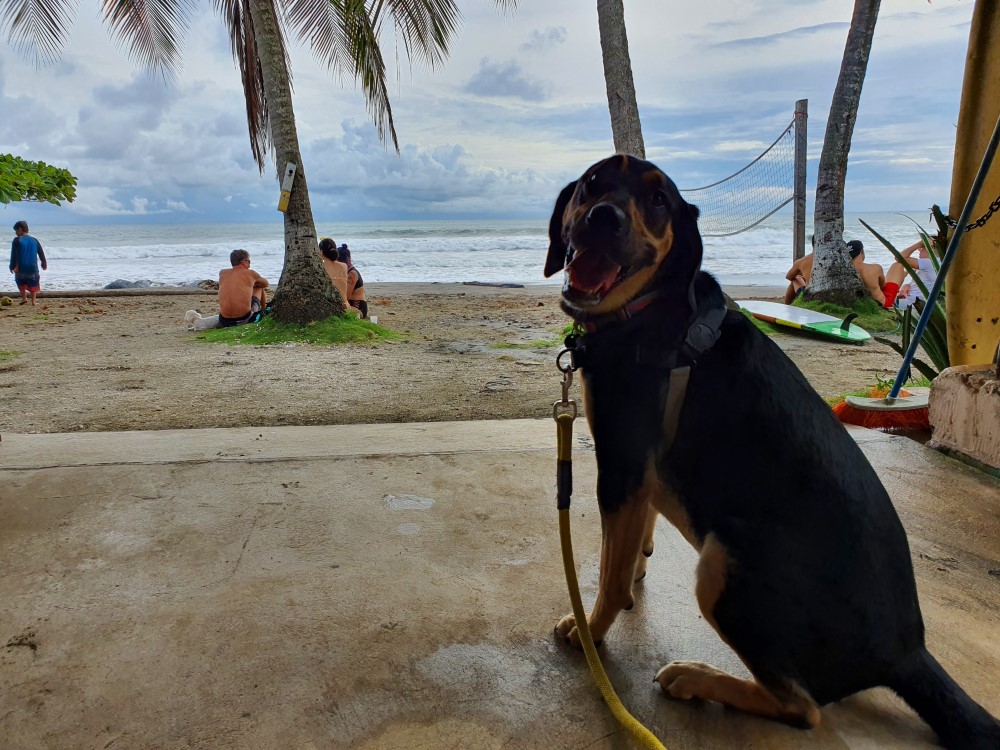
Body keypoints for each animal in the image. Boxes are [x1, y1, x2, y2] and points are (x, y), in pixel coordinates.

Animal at [548, 156, 1000, 748]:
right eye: (592, 184)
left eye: (658, 201)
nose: (603, 218)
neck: (651, 308)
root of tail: (907, 653)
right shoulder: (642, 472)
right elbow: (629, 549)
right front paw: (635, 575)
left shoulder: (622, 465)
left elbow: (607, 573)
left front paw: (591, 630)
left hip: (724, 566)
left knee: (803, 708)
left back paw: (698, 678)